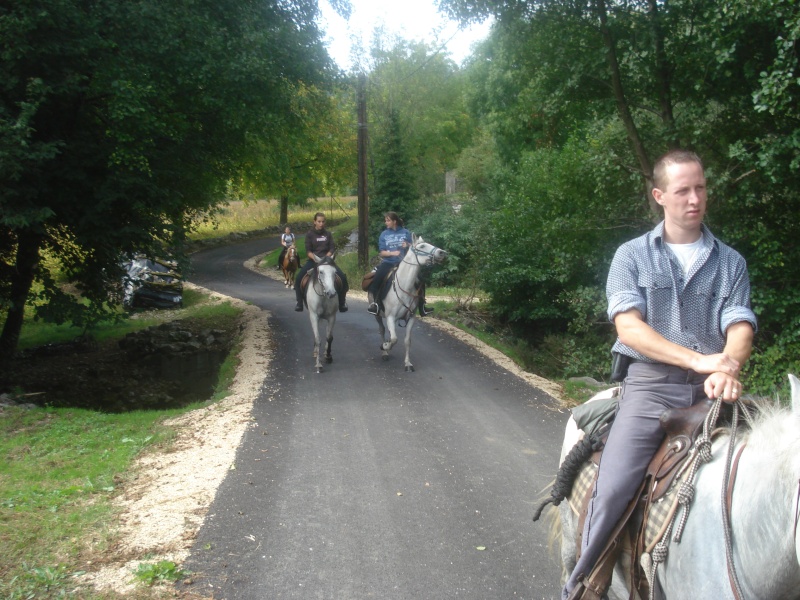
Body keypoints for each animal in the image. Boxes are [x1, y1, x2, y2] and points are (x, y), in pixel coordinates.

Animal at [372, 236, 446, 370]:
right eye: (422, 246)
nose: (442, 252)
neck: (405, 286)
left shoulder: (411, 317)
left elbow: (406, 341)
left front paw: (407, 363)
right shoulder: (390, 317)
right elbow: (394, 339)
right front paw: (385, 346)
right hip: (378, 315)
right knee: (382, 330)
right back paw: (385, 352)